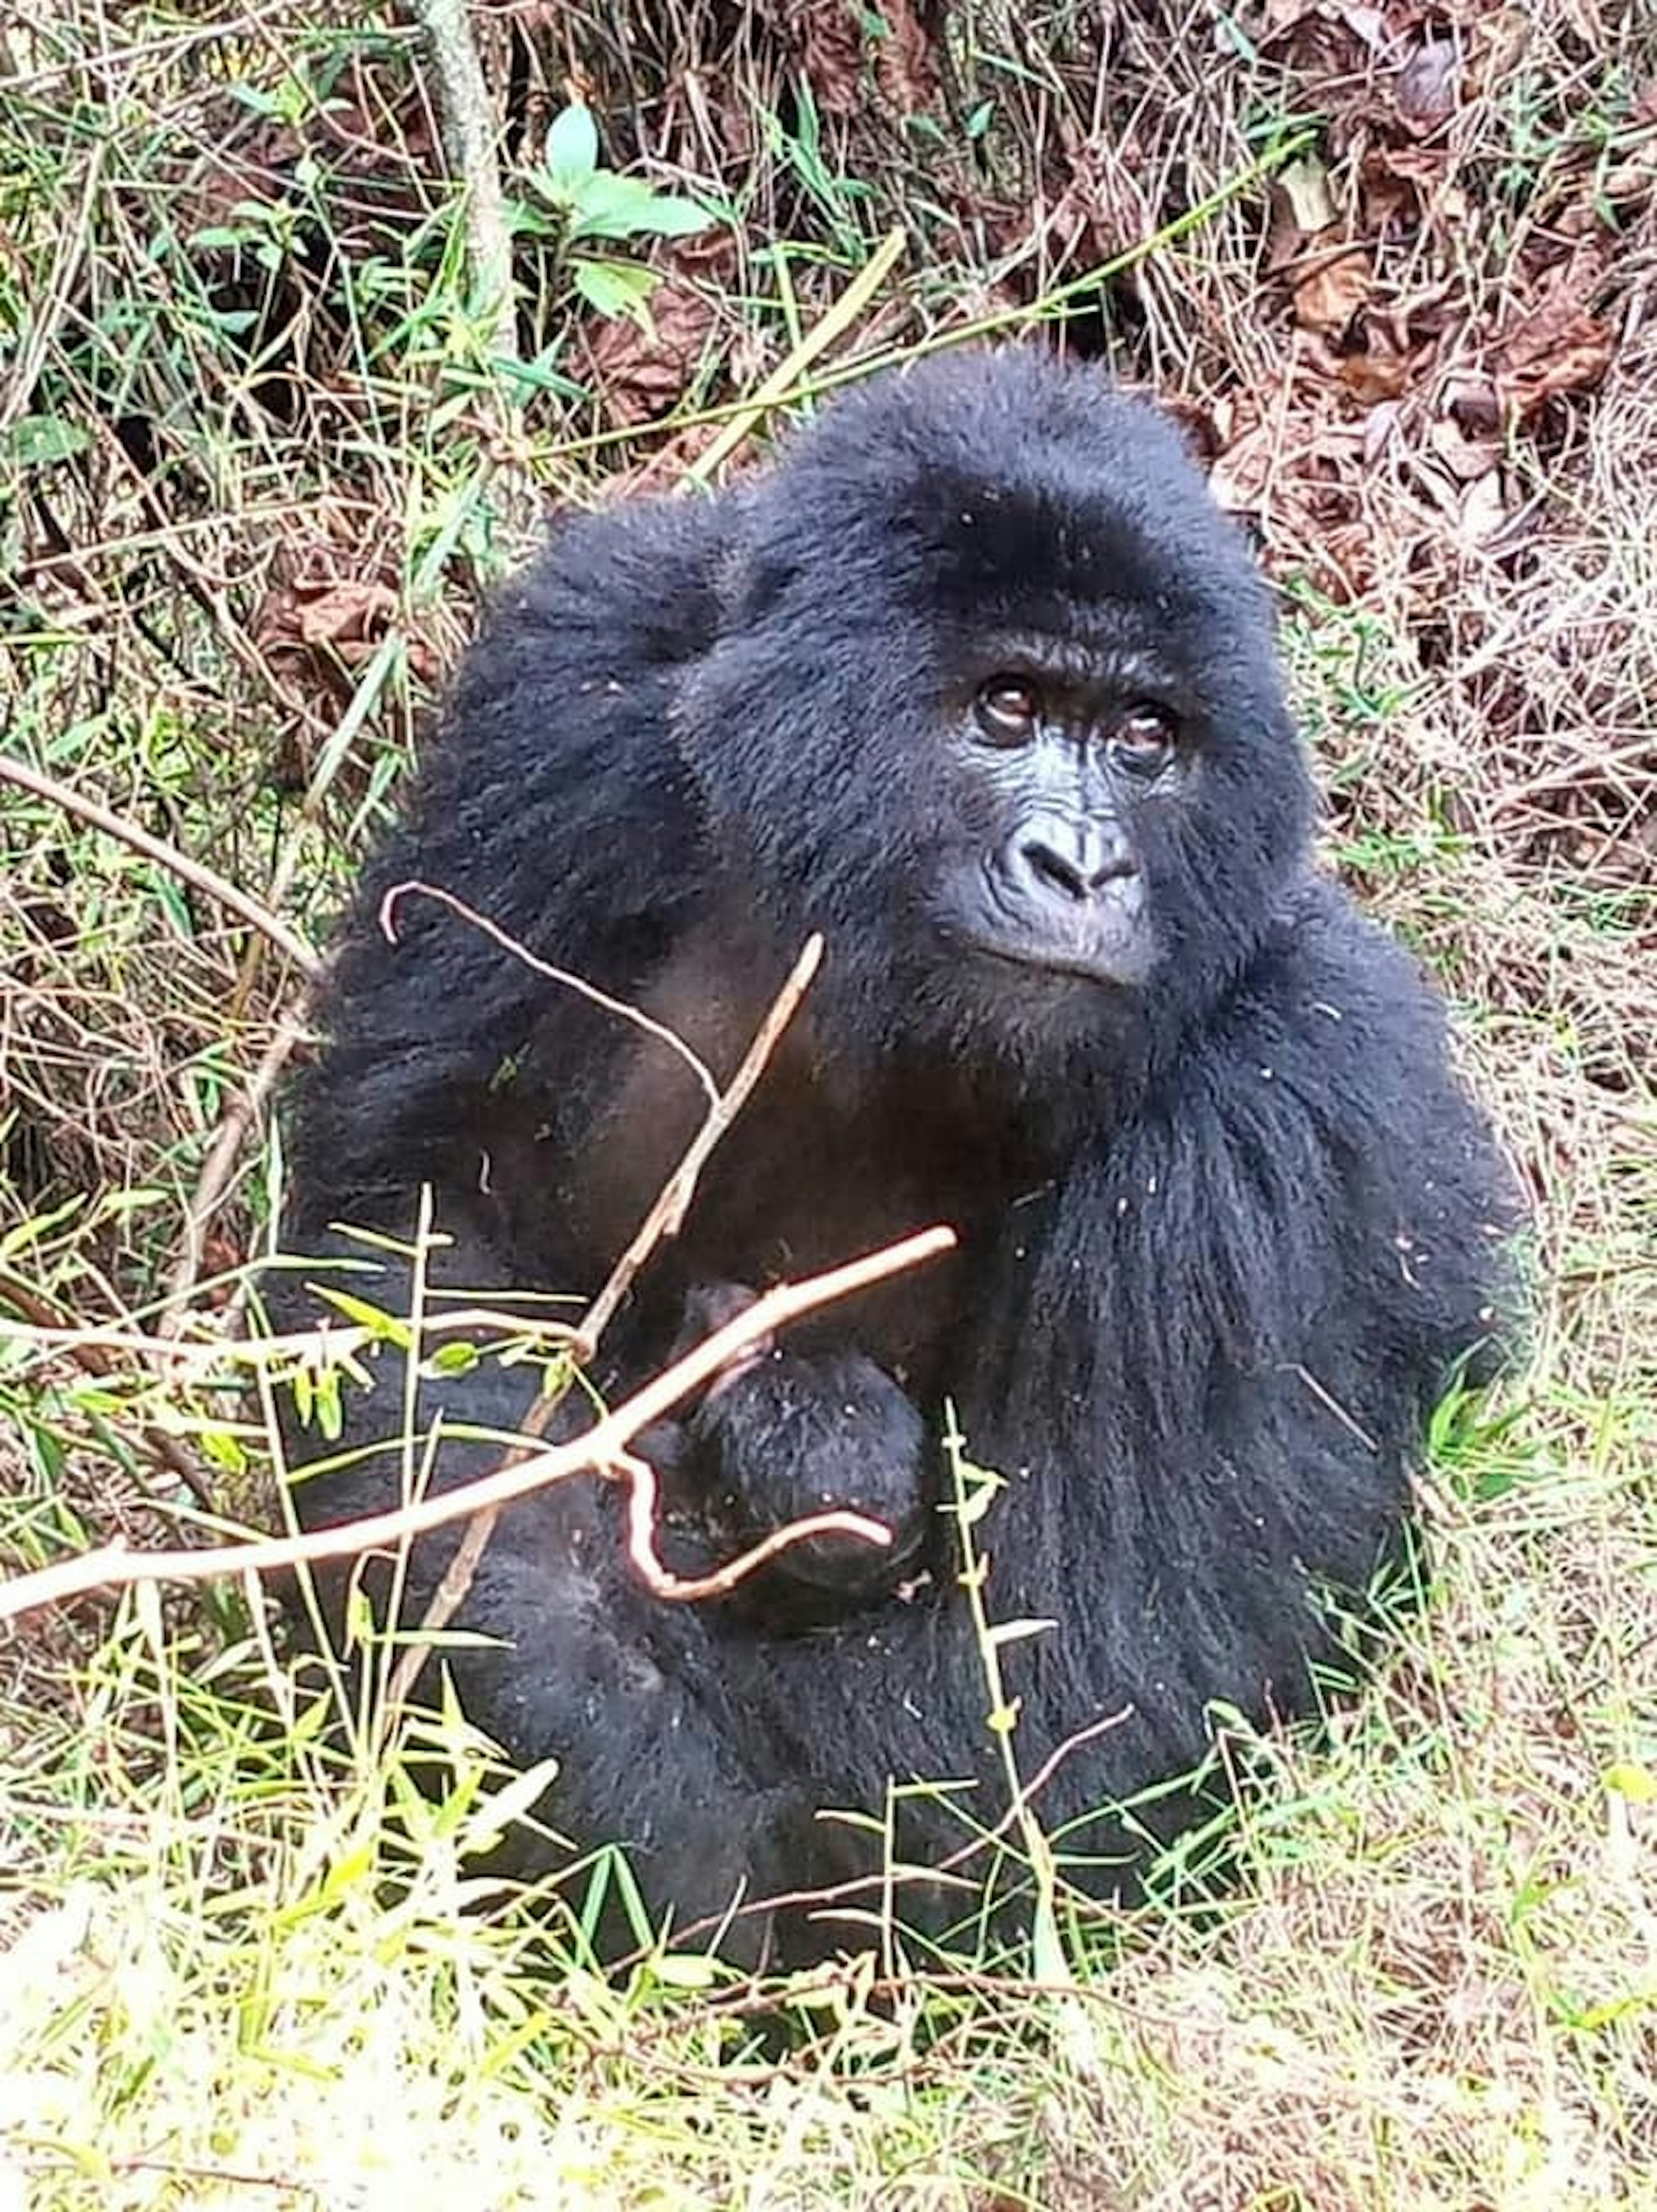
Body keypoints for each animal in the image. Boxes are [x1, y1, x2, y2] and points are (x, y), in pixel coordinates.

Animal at [274, 345, 1522, 1973]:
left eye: (1144, 739)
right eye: (1007, 705)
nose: (1082, 865)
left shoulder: (1296, 1107)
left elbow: (1054, 1726)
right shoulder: (573, 683)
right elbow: (417, 1228)